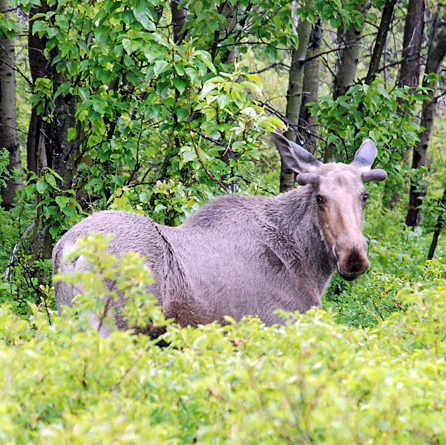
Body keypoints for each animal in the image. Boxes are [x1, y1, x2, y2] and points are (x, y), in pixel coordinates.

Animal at [53, 133, 386, 336]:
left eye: (365, 195)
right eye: (320, 197)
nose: (353, 256)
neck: (310, 268)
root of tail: (70, 251)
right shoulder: (276, 325)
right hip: (118, 326)